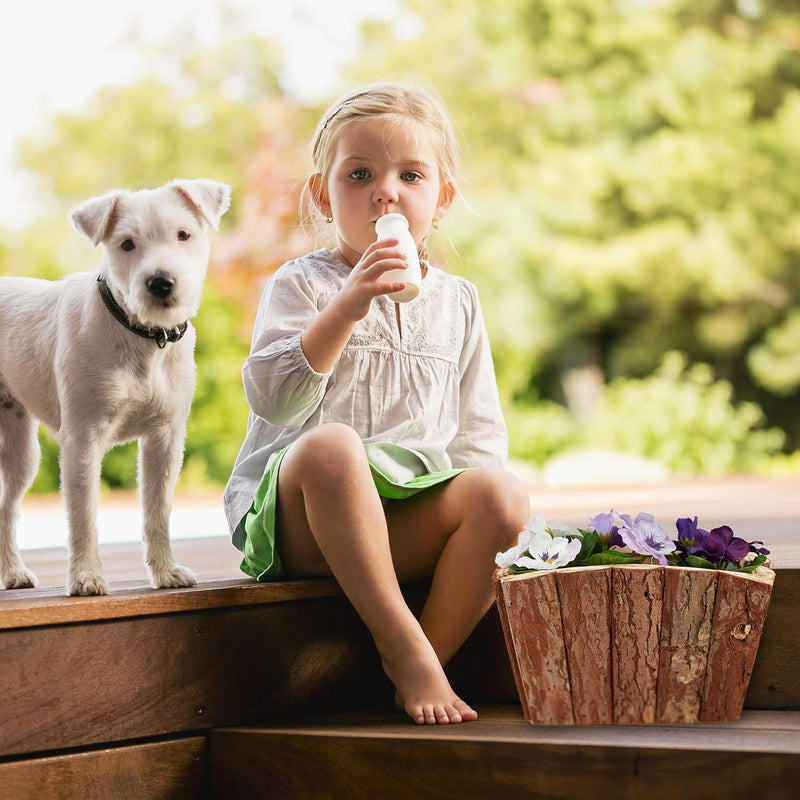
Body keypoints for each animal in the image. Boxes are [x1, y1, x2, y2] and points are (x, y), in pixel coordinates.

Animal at [0, 180, 231, 592]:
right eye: (126, 244)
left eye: (183, 234)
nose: (161, 283)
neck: (141, 333)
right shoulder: (82, 440)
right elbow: (83, 517)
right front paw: (86, 577)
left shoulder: (164, 438)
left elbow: (158, 510)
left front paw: (165, 572)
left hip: (21, 452)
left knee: (6, 509)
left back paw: (12, 572)